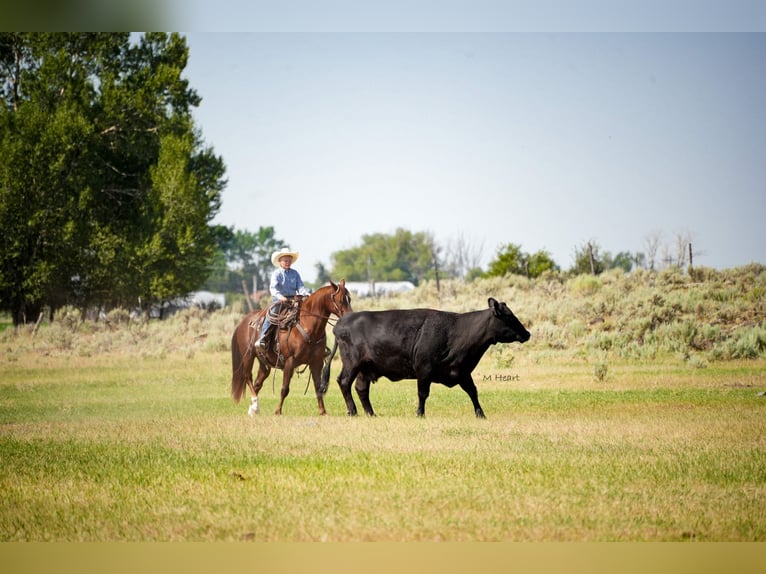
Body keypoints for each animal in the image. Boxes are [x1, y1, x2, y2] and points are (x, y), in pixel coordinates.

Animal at [230, 280, 352, 416]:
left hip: (264, 363)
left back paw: (253, 409)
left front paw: (322, 411)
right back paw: (255, 404)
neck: (307, 326)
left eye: (349, 299)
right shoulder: (290, 361)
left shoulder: (316, 362)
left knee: (258, 383)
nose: (350, 316)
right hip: (248, 356)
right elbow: (285, 388)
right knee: (248, 377)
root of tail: (243, 322)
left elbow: (318, 387)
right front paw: (277, 411)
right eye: (341, 300)